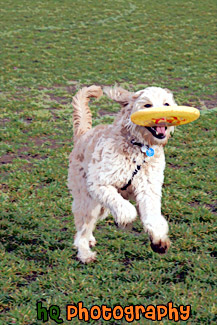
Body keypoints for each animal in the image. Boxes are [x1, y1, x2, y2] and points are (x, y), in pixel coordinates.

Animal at [68, 84, 176, 264]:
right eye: (147, 105)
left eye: (166, 104)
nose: (162, 117)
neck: (139, 148)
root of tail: (83, 134)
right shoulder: (99, 183)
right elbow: (125, 208)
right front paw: (126, 220)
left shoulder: (149, 189)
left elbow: (152, 216)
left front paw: (159, 240)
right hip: (87, 200)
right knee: (82, 228)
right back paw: (84, 253)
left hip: (100, 207)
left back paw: (89, 240)